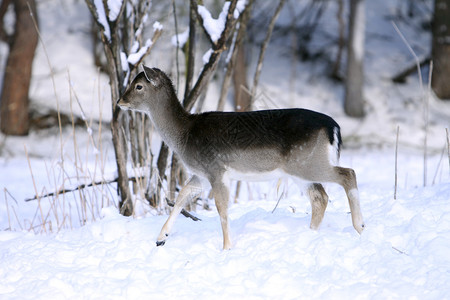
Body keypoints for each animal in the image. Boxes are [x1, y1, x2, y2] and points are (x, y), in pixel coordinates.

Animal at [118, 67, 364, 250]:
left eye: (138, 85)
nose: (120, 101)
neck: (185, 135)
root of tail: (334, 128)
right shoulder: (201, 173)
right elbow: (181, 196)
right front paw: (161, 238)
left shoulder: (215, 169)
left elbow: (221, 208)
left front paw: (227, 247)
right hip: (300, 169)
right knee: (320, 197)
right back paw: (311, 233)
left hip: (308, 163)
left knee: (348, 173)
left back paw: (360, 226)